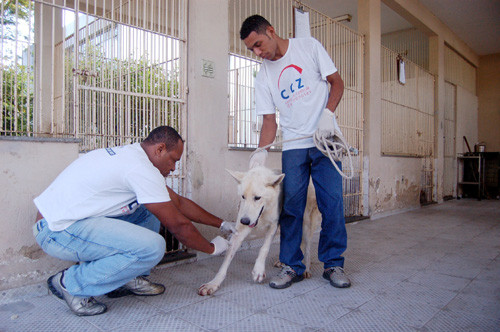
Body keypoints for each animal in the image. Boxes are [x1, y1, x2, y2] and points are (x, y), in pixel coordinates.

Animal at [196, 166, 320, 296]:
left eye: (257, 198)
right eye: (243, 197)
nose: (244, 221)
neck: (263, 213)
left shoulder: (273, 226)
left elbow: (264, 248)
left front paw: (258, 270)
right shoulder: (239, 231)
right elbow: (226, 261)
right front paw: (213, 283)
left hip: (305, 223)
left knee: (307, 245)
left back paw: (306, 269)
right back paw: (282, 261)